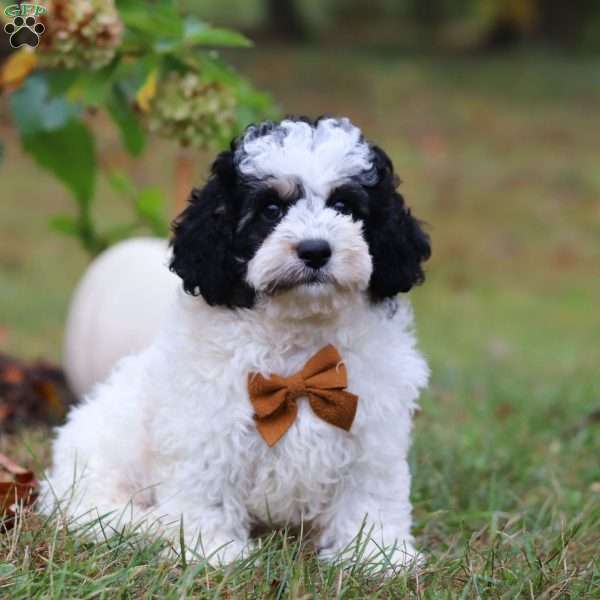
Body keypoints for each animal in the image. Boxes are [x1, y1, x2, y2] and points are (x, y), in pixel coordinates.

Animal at [42, 116, 434, 568]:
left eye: (344, 207)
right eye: (271, 210)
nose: (315, 250)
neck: (299, 347)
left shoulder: (370, 429)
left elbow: (370, 492)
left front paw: (377, 555)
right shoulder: (206, 427)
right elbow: (209, 490)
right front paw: (214, 552)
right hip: (101, 460)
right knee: (97, 511)